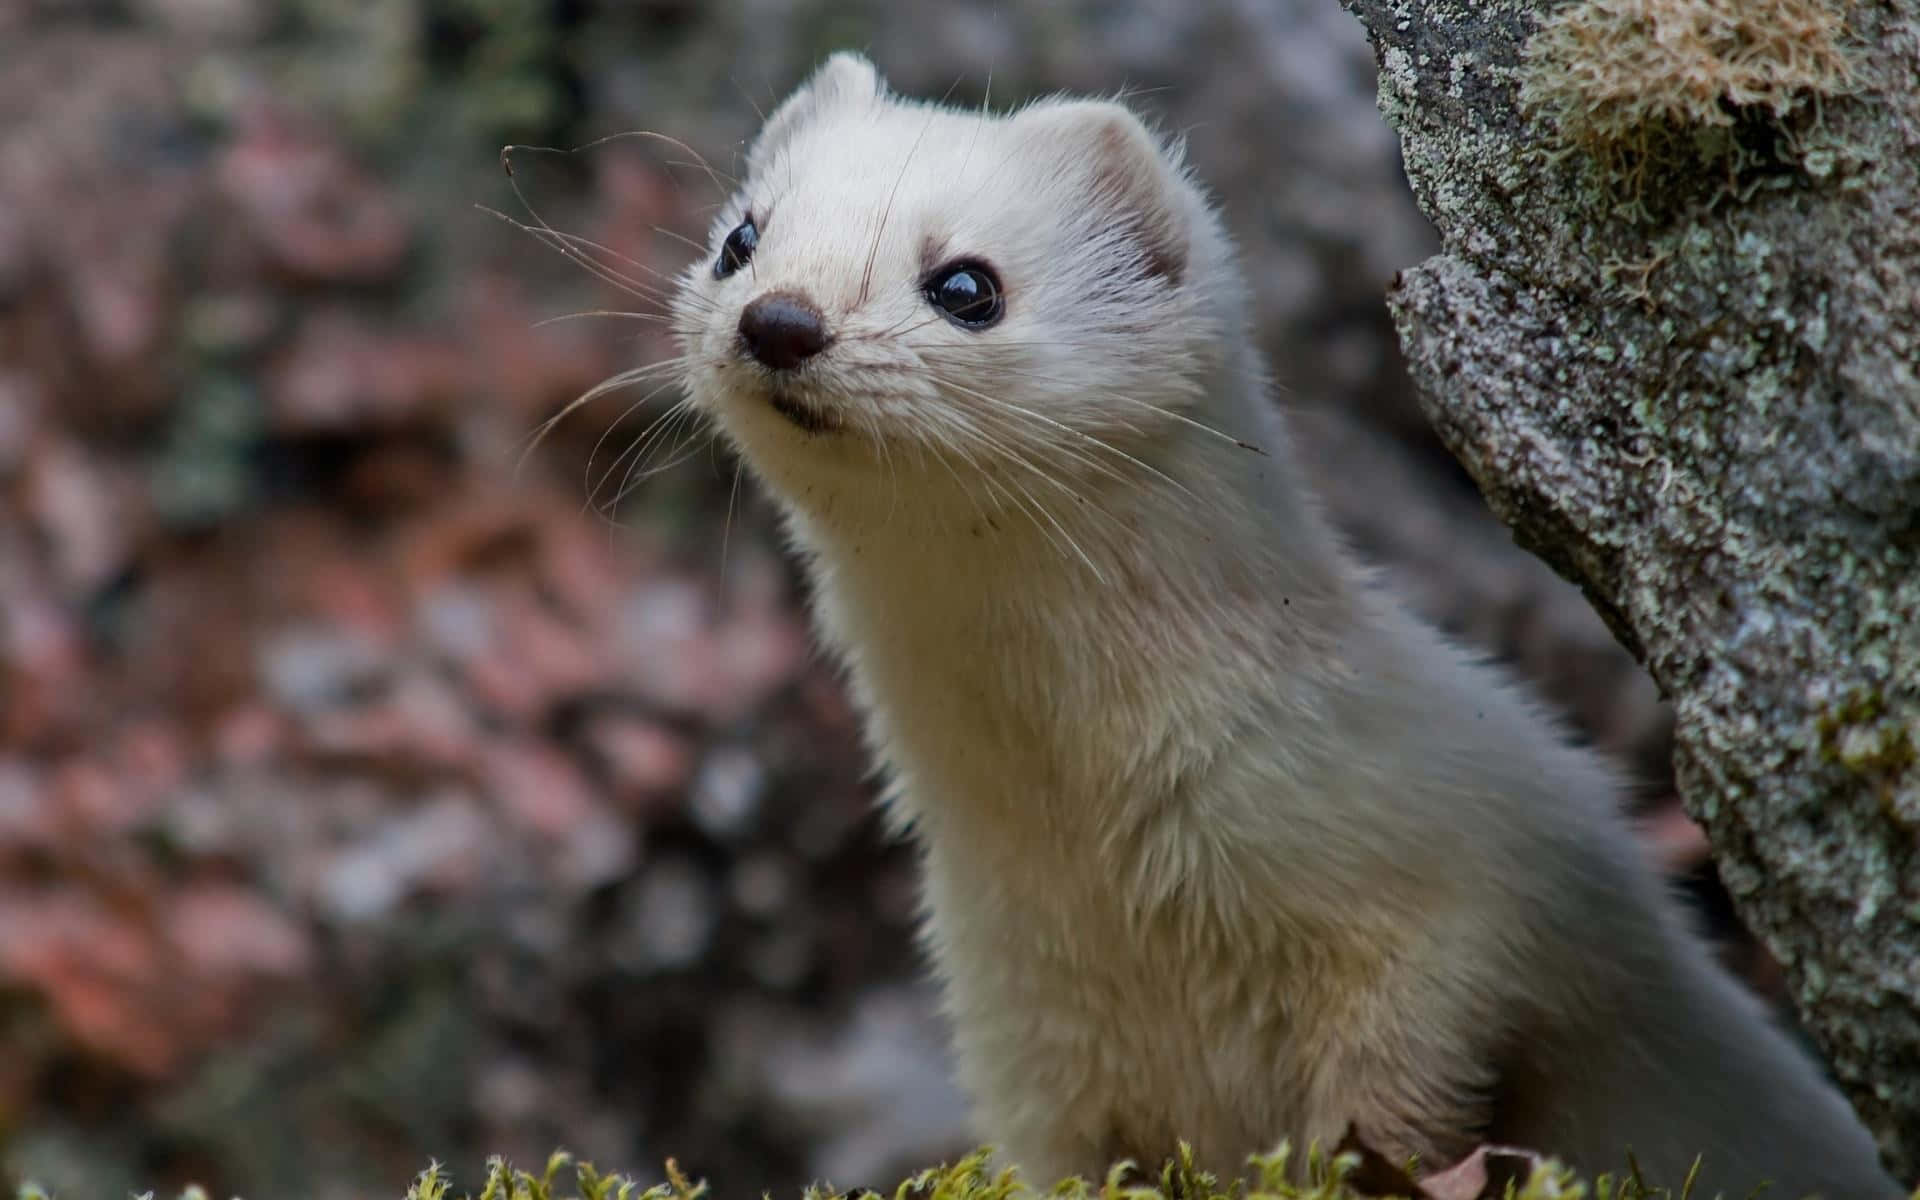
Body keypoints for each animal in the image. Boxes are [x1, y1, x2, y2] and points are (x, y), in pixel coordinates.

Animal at [668, 51, 1896, 1190]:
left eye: (967, 284)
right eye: (741, 238)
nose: (782, 321)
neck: (1095, 861)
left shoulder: (1468, 871)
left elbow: (1427, 1054)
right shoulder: (1017, 1026)